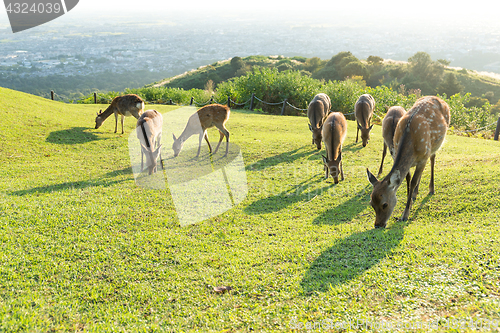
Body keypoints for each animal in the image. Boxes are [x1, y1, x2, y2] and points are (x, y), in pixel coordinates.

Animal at [366, 94, 452, 227]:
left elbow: (413, 182)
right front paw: (409, 201)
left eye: (384, 204)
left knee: (432, 159)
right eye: (371, 204)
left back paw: (431, 189)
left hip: (434, 146)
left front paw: (405, 214)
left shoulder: (423, 157)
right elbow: (408, 178)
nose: (378, 224)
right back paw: (415, 194)